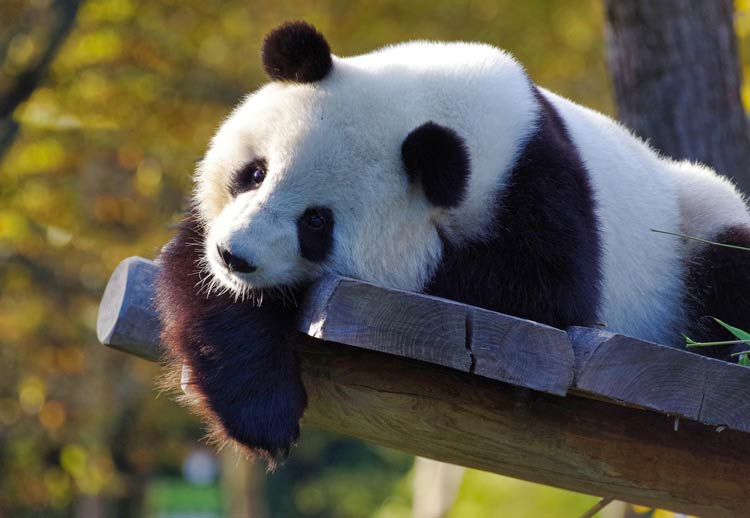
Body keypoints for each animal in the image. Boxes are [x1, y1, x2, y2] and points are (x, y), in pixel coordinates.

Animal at [156, 21, 750, 464]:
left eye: (317, 223)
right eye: (254, 172)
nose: (235, 256)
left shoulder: (544, 192)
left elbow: (545, 295)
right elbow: (199, 277)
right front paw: (264, 415)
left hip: (693, 223)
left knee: (727, 268)